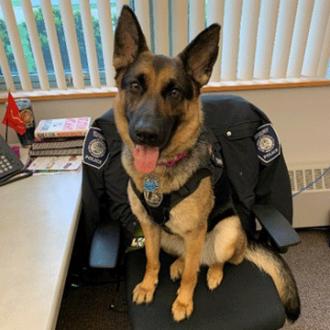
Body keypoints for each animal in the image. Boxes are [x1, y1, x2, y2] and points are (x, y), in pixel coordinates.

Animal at [112, 5, 300, 322]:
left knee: (217, 260)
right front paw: (149, 285)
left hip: (227, 232)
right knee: (188, 257)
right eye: (136, 85)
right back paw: (177, 264)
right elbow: (152, 261)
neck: (160, 173)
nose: (146, 134)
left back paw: (213, 273)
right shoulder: (148, 226)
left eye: (174, 92)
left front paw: (183, 302)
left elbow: (191, 275)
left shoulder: (196, 230)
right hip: (169, 238)